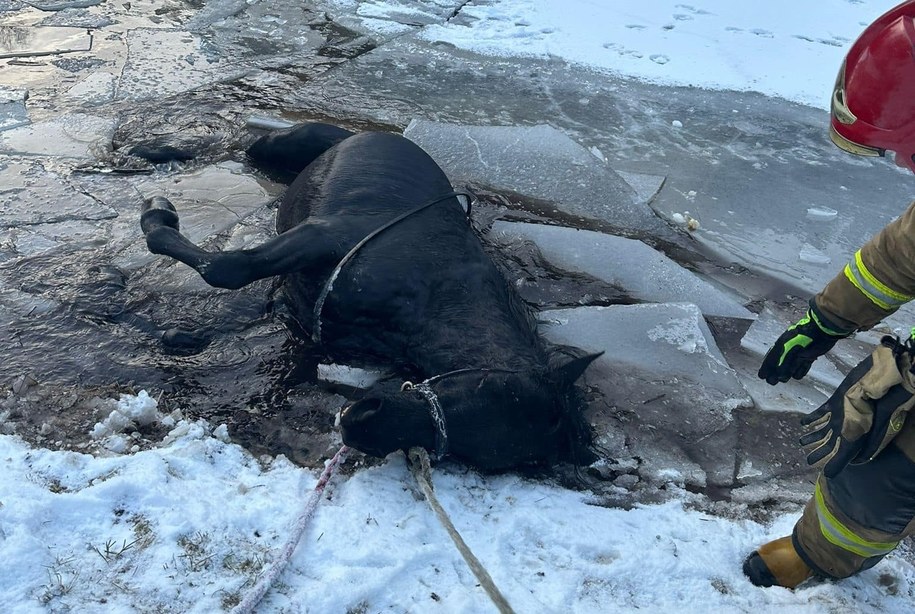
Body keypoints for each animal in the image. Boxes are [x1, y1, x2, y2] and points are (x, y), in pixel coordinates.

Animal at [141, 122, 600, 474]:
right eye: (491, 386)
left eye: (481, 456)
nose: (358, 423)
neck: (433, 293)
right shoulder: (318, 237)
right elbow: (229, 268)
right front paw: (156, 219)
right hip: (283, 145)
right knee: (239, 143)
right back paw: (154, 156)